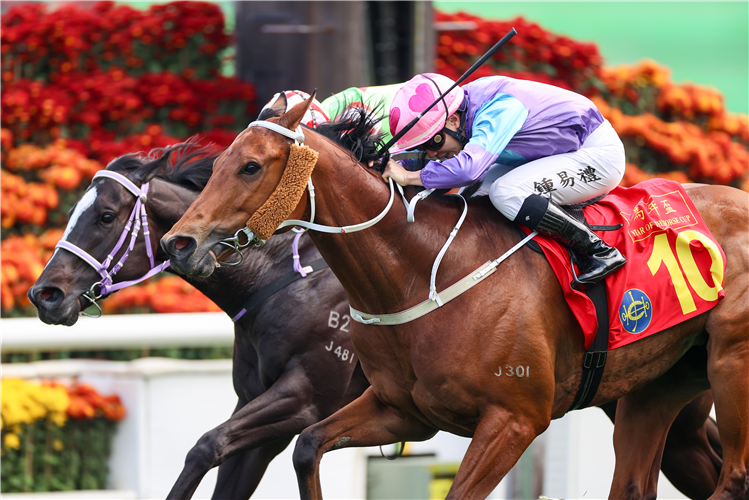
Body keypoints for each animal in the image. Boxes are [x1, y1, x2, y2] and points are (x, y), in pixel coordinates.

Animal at [27, 145, 370, 500]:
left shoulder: (307, 395)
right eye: (71, 214)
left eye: (106, 216)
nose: (44, 294)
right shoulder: (257, 405)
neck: (281, 275)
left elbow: (206, 446)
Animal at [162, 96, 748, 500]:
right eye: (216, 163)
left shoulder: (514, 420)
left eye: (251, 166)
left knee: (734, 478)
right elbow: (306, 448)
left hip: (728, 363)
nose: (179, 242)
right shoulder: (402, 410)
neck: (418, 273)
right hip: (655, 387)